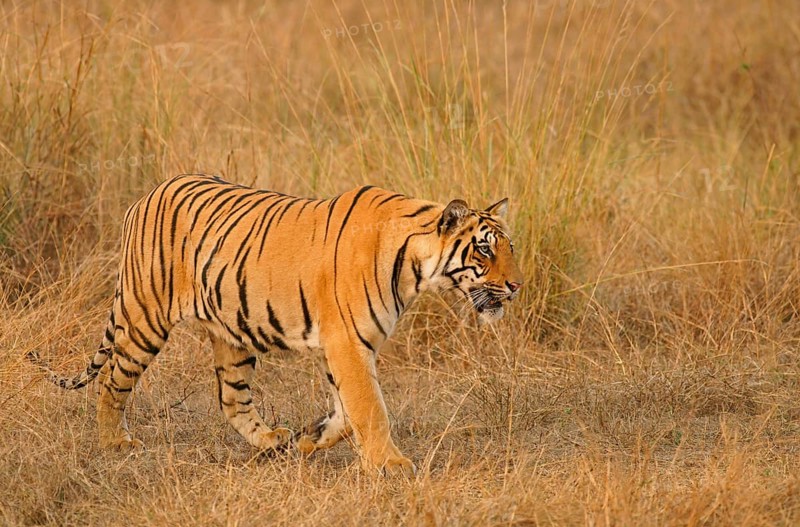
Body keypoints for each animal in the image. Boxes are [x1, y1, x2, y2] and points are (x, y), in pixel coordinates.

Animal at [30, 174, 523, 476]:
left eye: (510, 247)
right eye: (483, 250)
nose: (516, 285)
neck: (414, 267)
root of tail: (146, 196)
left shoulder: (340, 347)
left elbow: (346, 412)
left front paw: (310, 439)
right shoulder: (347, 342)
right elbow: (371, 408)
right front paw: (392, 465)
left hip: (230, 332)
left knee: (231, 398)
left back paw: (271, 440)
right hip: (145, 318)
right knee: (112, 380)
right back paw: (114, 442)